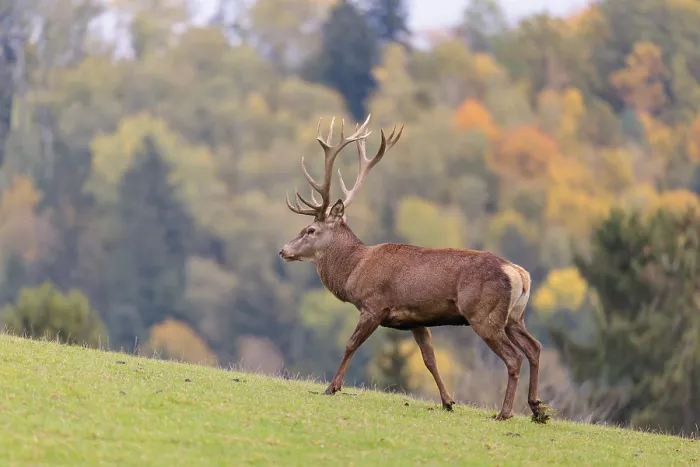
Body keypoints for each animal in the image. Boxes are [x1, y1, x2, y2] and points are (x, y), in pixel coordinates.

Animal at [279, 115, 546, 422]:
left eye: (310, 230)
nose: (283, 250)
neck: (354, 270)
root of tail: (519, 274)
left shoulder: (374, 305)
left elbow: (350, 344)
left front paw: (332, 387)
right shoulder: (416, 319)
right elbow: (429, 359)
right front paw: (447, 401)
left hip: (484, 314)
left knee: (514, 357)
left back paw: (505, 413)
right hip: (514, 317)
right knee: (535, 347)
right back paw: (537, 409)